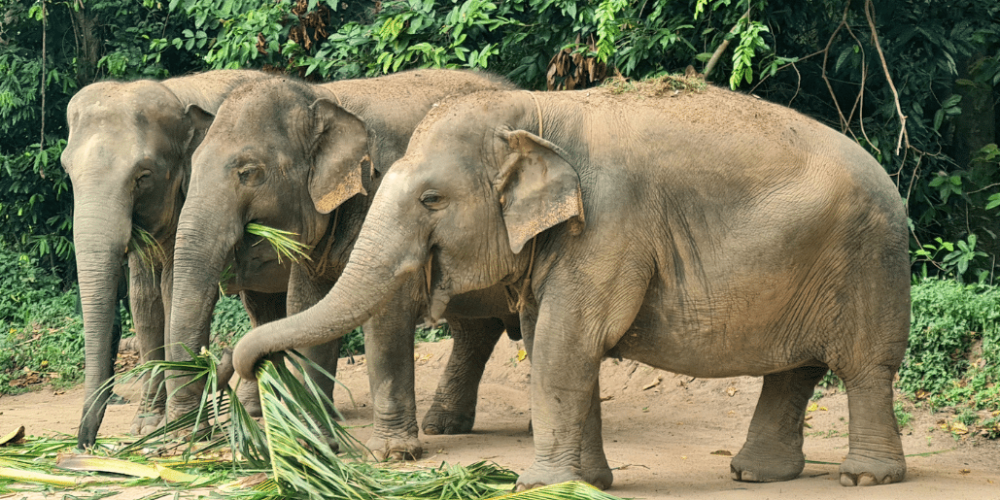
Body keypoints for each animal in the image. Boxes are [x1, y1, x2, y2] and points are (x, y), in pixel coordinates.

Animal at [61, 70, 290, 449]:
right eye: (67, 169)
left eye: (143, 176)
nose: (86, 444)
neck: (174, 93)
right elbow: (144, 301)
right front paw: (146, 428)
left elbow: (172, 291)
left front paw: (172, 428)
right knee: (264, 306)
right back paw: (258, 409)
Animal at [169, 70, 522, 459]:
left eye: (248, 172)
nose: (191, 438)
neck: (322, 97)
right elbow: (304, 307)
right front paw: (313, 447)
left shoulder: (390, 202)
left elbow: (386, 316)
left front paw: (392, 453)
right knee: (476, 330)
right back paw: (443, 426)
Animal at [232, 83, 911, 490]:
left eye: (432, 200)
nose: (236, 370)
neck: (536, 112)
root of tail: (889, 176)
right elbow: (552, 341)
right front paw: (588, 485)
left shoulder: (608, 225)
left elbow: (567, 341)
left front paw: (538, 486)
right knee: (794, 370)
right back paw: (756, 475)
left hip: (869, 262)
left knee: (865, 368)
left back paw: (863, 479)